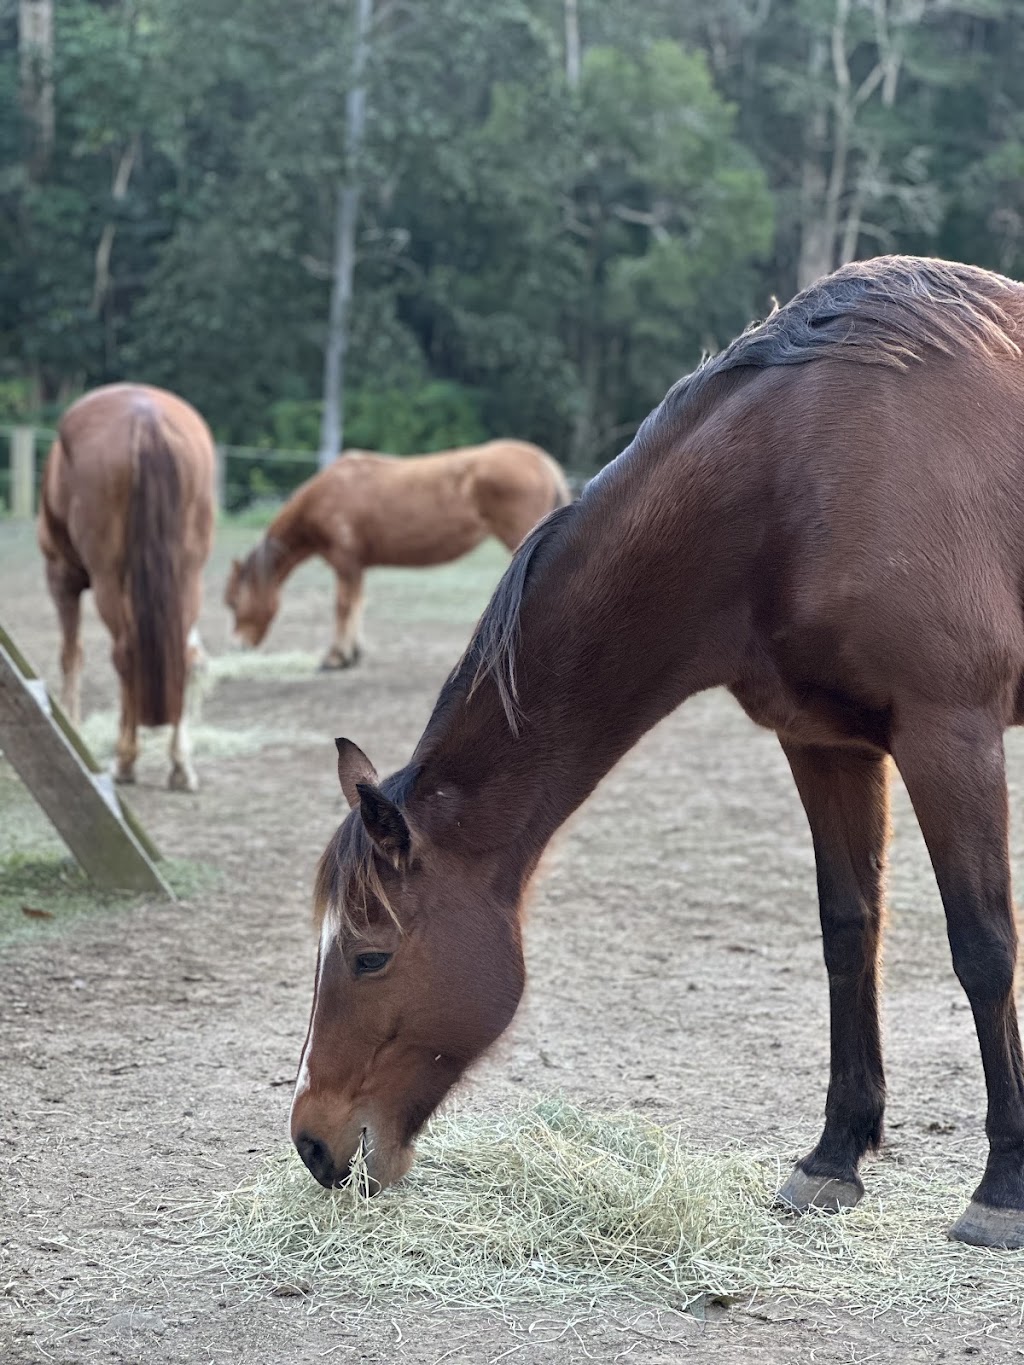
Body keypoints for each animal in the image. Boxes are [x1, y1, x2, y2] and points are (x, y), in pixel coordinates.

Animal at [38, 383, 215, 792]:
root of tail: (145, 417)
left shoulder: (62, 578)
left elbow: (71, 655)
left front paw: (72, 726)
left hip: (106, 580)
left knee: (124, 653)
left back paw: (125, 761)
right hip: (189, 575)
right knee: (180, 655)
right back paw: (179, 766)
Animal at [224, 440, 570, 669]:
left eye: (233, 602)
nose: (238, 645)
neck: (330, 494)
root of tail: (542, 462)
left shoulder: (345, 562)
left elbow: (343, 606)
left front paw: (336, 657)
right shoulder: (357, 567)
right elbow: (357, 604)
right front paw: (353, 653)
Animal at [291, 256, 1024, 1250]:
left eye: (370, 955)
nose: (311, 1142)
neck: (798, 477)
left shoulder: (952, 734)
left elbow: (983, 944)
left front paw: (1002, 1184)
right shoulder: (824, 743)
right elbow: (847, 931)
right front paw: (834, 1154)